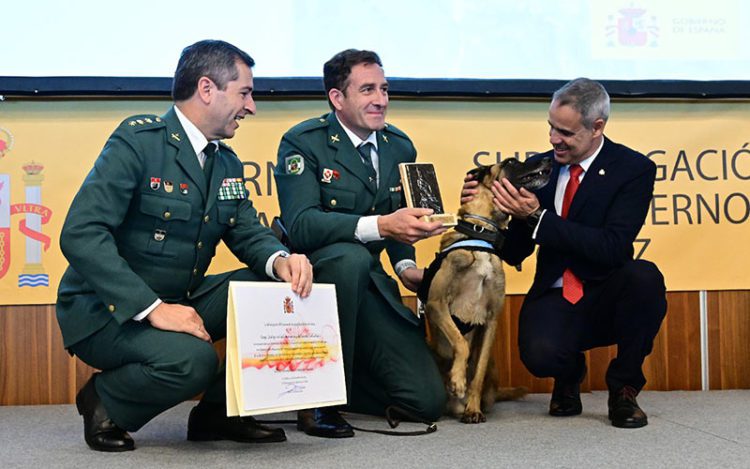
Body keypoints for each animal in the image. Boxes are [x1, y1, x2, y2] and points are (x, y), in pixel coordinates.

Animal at [420, 155, 556, 422]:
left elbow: (478, 373)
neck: (481, 233)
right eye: (512, 162)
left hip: (493, 365)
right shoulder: (436, 304)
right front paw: (457, 379)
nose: (548, 158)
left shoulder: (491, 320)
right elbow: (460, 343)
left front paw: (473, 407)